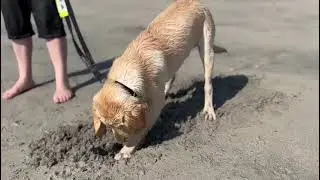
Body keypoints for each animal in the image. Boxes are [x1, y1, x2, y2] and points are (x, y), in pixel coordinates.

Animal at [91, 0, 216, 160]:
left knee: (208, 84)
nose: (119, 141)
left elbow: (143, 126)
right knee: (172, 76)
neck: (134, 62)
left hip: (207, 49)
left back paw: (208, 110)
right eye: (109, 126)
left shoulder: (156, 103)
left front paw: (126, 149)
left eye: (121, 125)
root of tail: (196, 2)